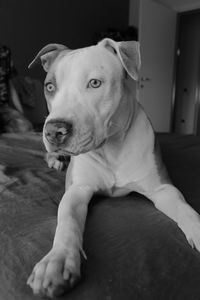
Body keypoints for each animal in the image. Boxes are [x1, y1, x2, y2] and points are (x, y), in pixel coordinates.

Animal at [27, 39, 200, 298]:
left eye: (95, 83)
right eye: (50, 86)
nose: (54, 131)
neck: (111, 150)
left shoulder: (162, 189)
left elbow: (186, 210)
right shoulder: (77, 190)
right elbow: (67, 220)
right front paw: (57, 261)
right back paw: (56, 160)